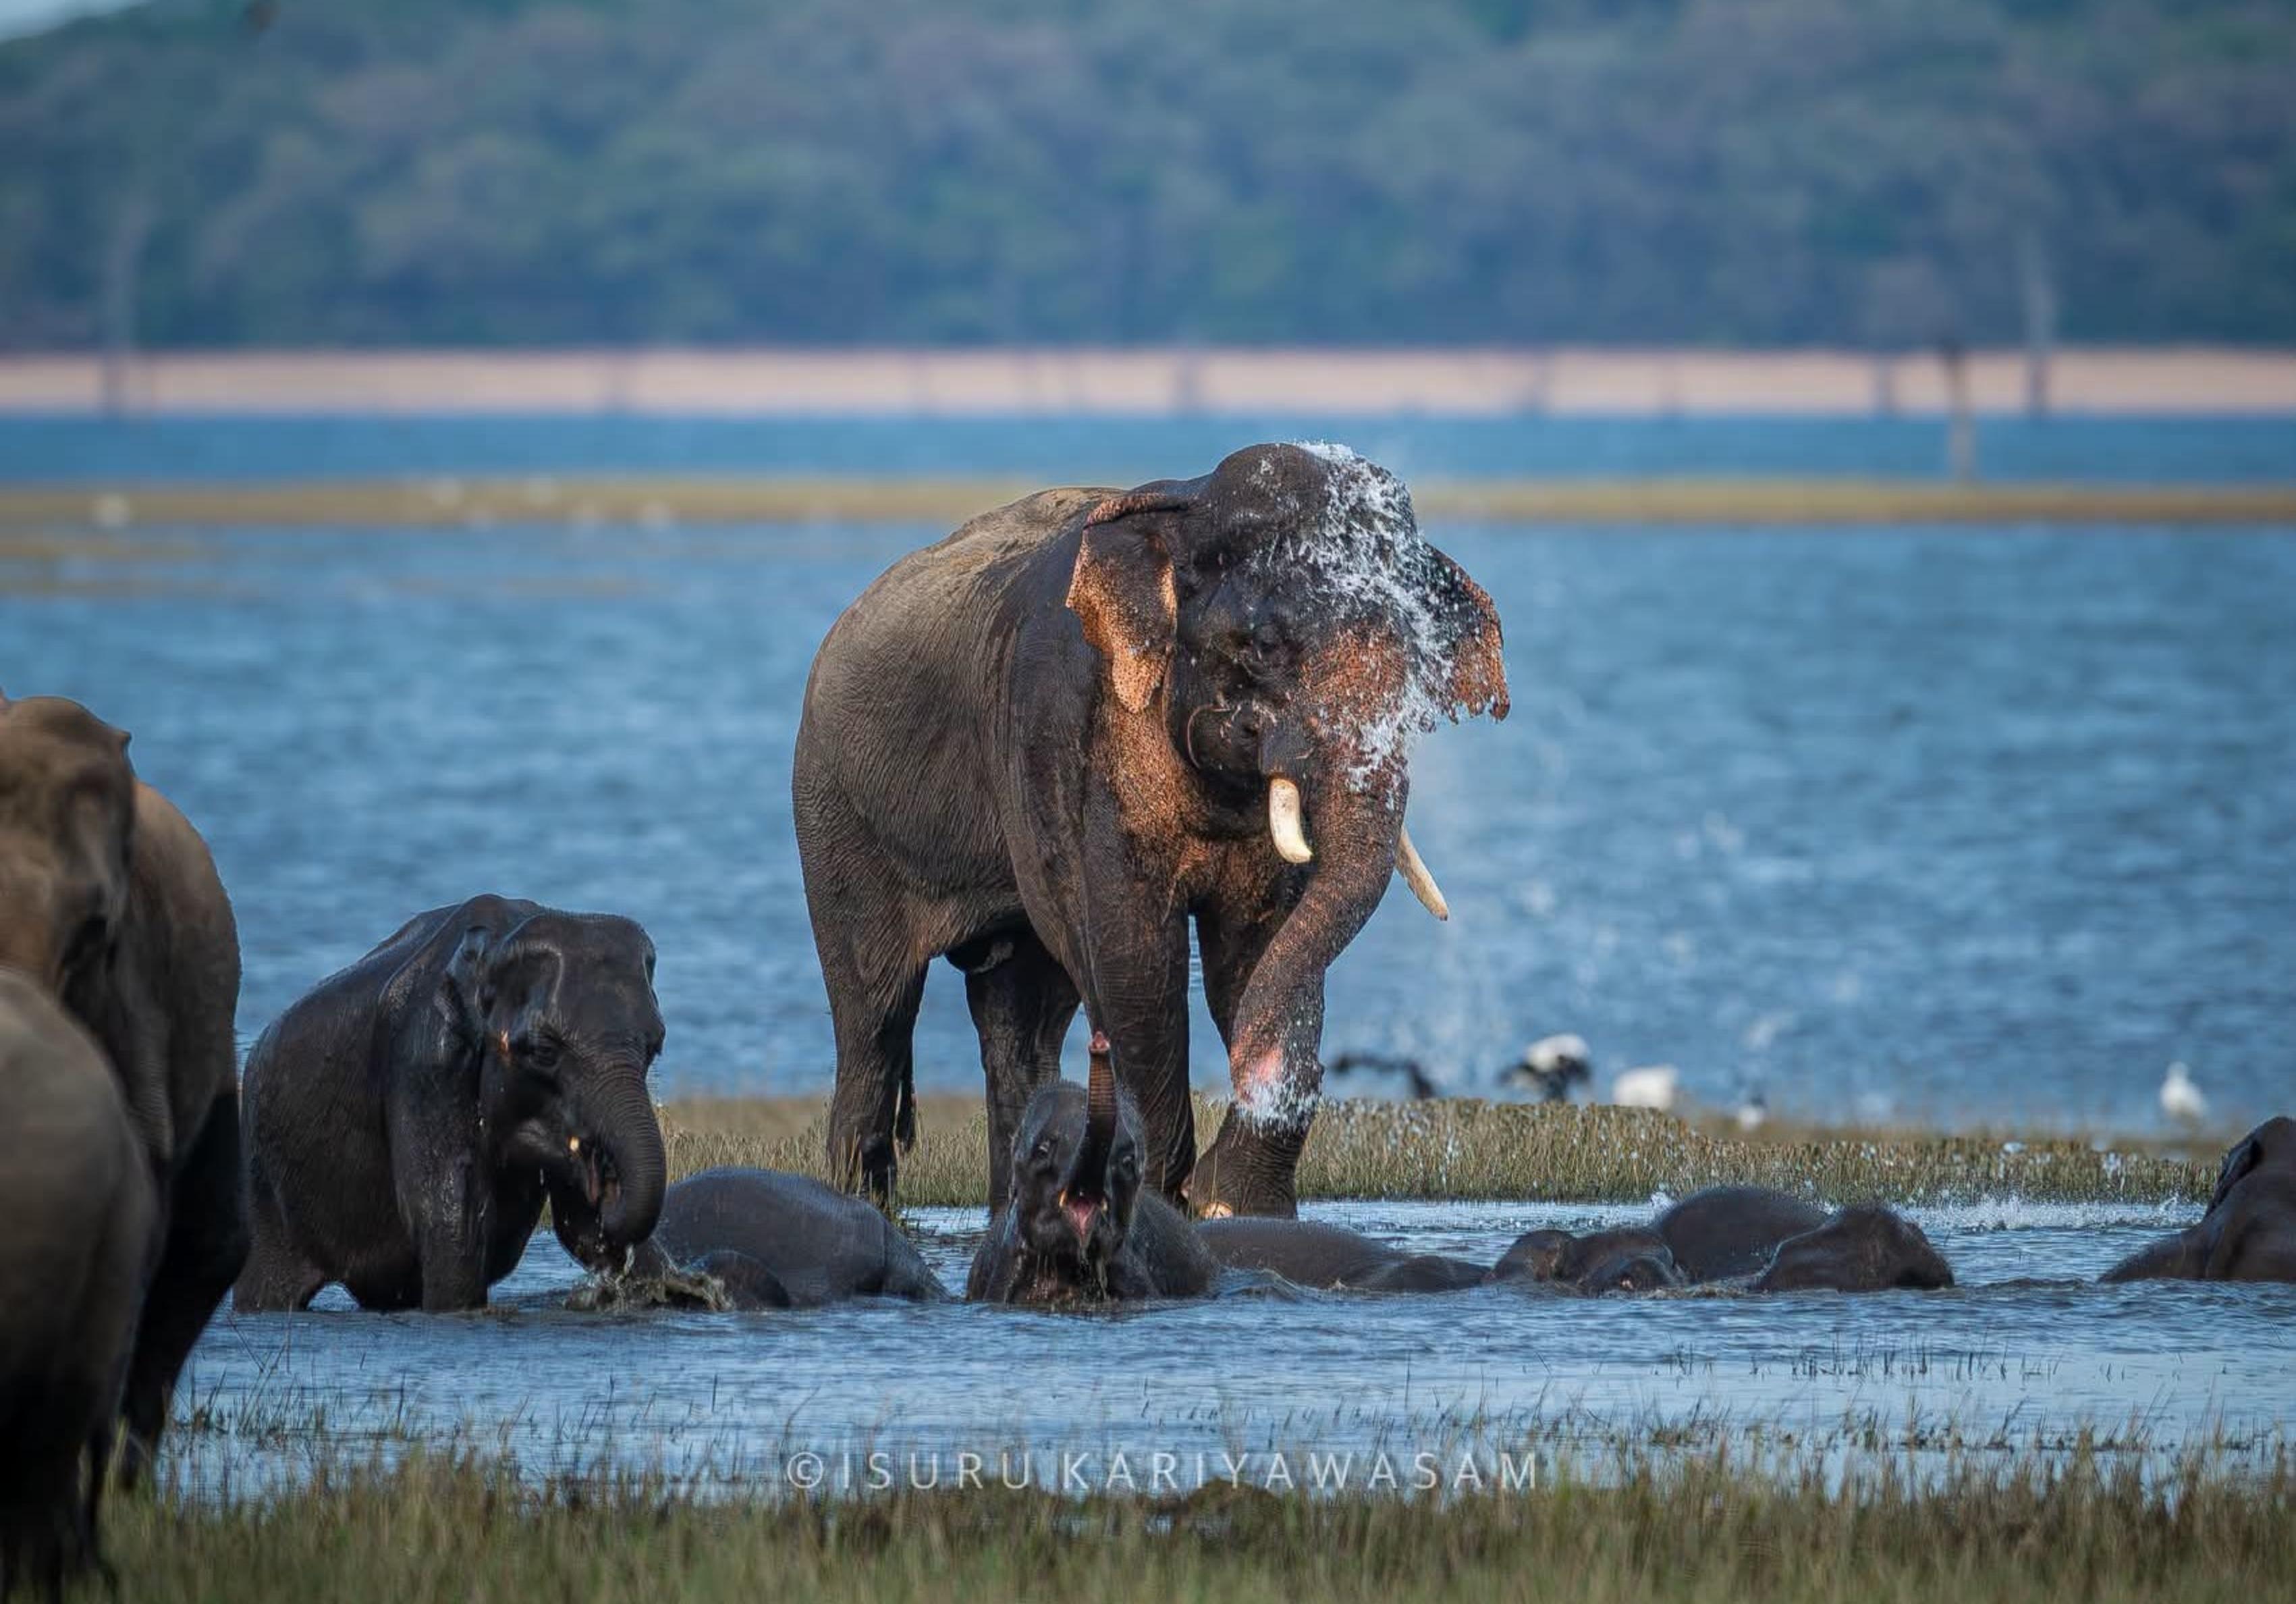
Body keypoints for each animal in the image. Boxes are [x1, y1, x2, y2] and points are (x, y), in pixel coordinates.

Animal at [233, 896, 669, 1313]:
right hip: (264, 1185)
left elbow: (580, 1226)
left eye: (655, 1047)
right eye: (544, 1051)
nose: (603, 1179)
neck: (496, 946)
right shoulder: (424, 1058)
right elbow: (450, 1212)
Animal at [794, 443, 1508, 1219]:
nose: (1207, 1186)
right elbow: (1132, 954)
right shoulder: (1064, 735)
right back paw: (861, 1202)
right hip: (835, 814)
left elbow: (1259, 950)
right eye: (1264, 646)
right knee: (874, 1013)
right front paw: (1170, 1204)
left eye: (1418, 658)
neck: (1182, 511)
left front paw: (1239, 1208)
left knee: (1020, 1017)